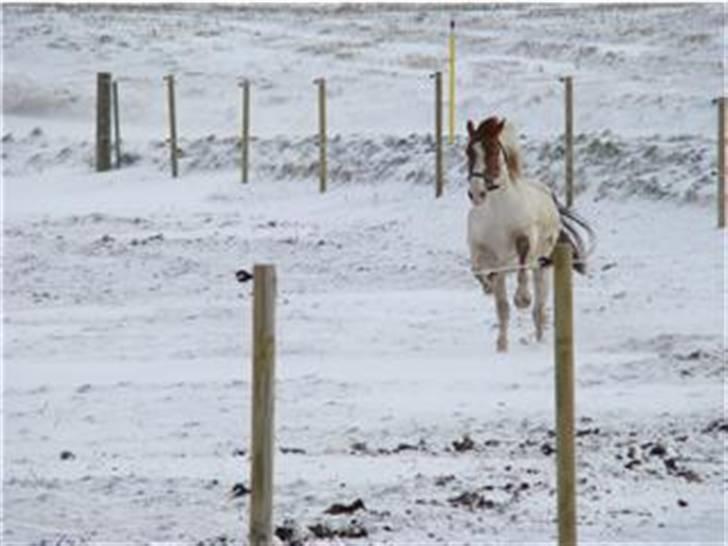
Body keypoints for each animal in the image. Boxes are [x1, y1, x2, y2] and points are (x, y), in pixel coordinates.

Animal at [464, 116, 596, 350]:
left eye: (493, 151)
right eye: (468, 151)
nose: (476, 193)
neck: (497, 211)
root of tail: (547, 192)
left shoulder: (525, 239)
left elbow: (522, 265)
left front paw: (522, 298)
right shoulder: (482, 252)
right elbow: (478, 272)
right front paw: (487, 287)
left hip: (543, 266)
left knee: (539, 306)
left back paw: (539, 338)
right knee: (505, 308)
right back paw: (503, 344)